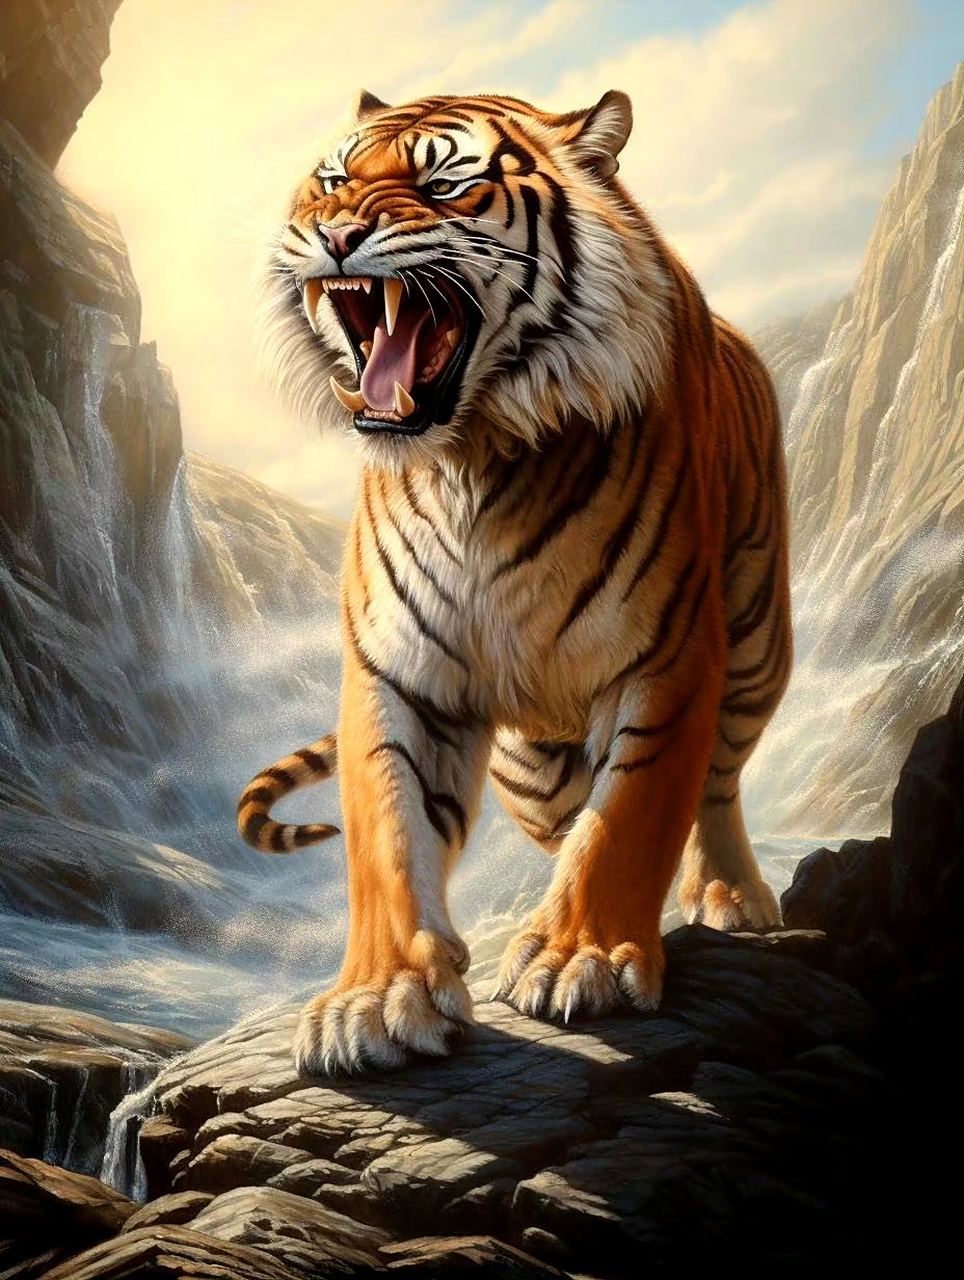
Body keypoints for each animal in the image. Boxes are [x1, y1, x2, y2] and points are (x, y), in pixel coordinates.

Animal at [239, 88, 792, 1076]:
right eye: (333, 180)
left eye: (443, 184)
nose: (334, 232)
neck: (472, 458)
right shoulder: (397, 673)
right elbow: (388, 836)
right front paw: (376, 1001)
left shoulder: (670, 659)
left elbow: (631, 814)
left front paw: (584, 959)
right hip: (529, 765)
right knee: (565, 811)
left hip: (757, 639)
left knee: (717, 782)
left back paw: (731, 896)